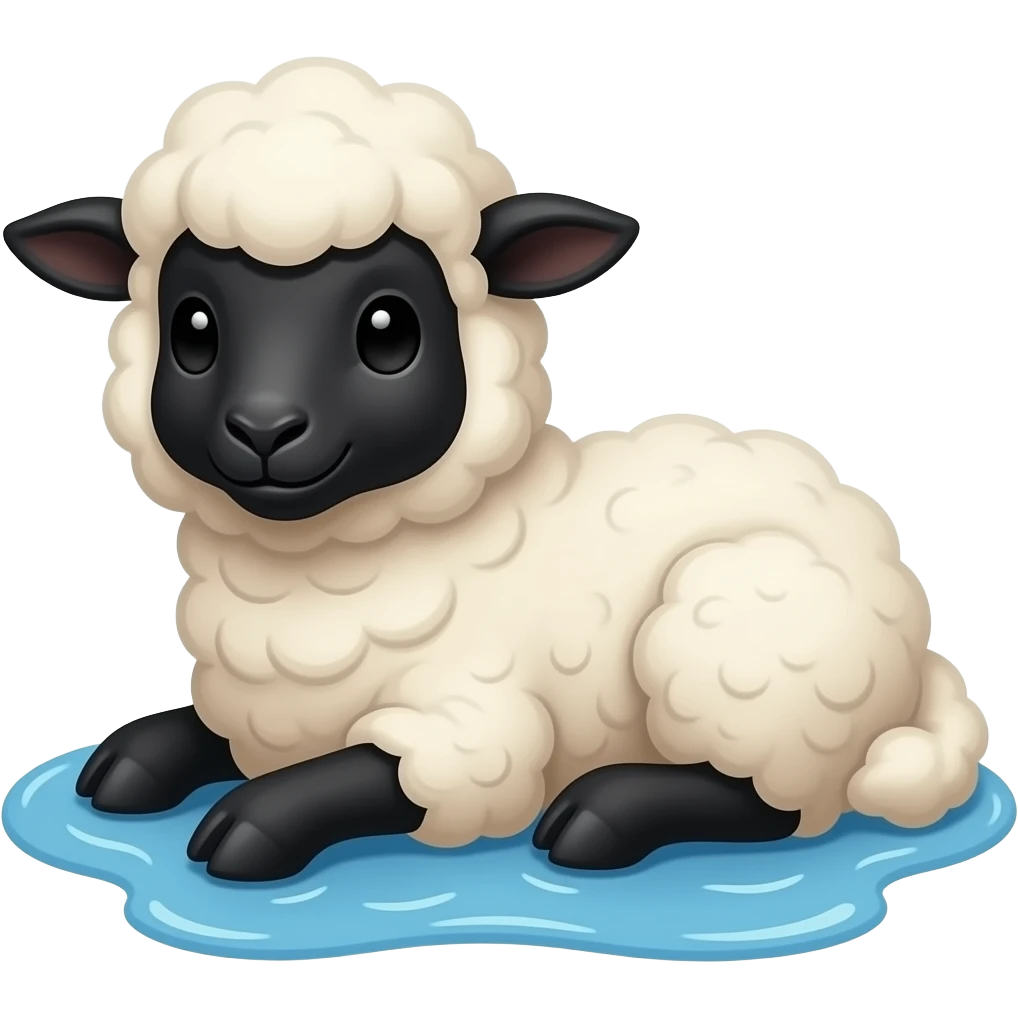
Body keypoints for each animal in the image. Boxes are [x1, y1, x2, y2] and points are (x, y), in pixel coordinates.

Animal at [3, 56, 988, 884]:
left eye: (388, 328)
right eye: (194, 328)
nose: (263, 428)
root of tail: (914, 647)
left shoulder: (472, 726)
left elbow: (360, 772)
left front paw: (248, 826)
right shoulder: (261, 711)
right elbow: (197, 733)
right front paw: (128, 762)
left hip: (746, 631)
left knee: (767, 800)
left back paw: (598, 817)